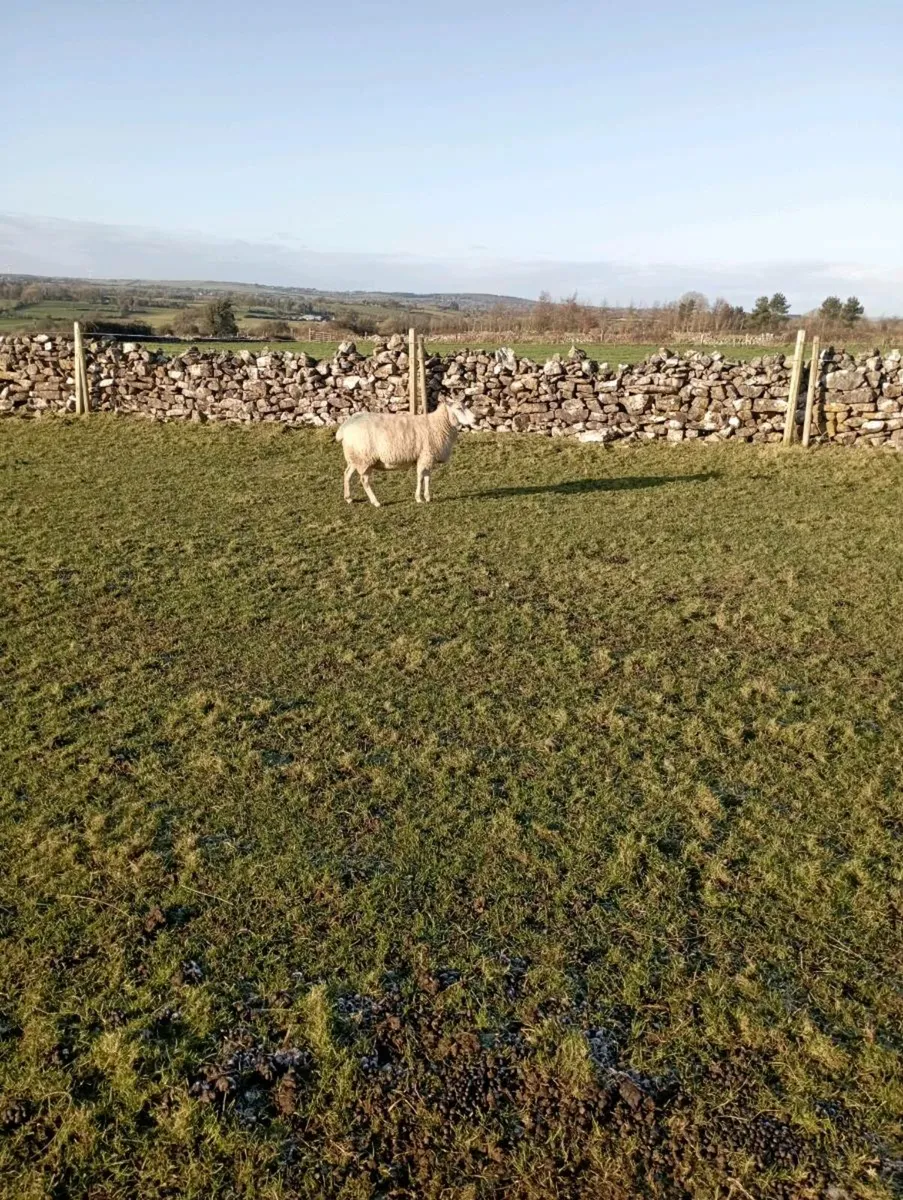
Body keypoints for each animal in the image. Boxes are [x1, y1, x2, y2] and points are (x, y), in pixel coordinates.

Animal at [335, 401, 476, 507]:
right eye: (458, 408)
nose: (476, 418)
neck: (438, 424)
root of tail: (344, 427)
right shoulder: (425, 455)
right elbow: (420, 477)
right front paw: (419, 498)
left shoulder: (427, 457)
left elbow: (427, 477)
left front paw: (427, 497)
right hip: (365, 458)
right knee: (364, 480)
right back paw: (376, 502)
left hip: (355, 457)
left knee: (347, 474)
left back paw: (348, 498)